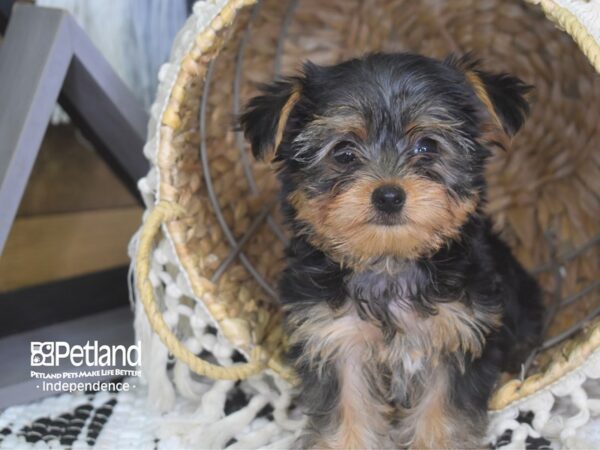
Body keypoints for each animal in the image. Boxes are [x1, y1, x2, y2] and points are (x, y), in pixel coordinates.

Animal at [241, 53, 548, 450]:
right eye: (343, 153)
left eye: (427, 146)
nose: (388, 195)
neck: (389, 265)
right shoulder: (336, 340)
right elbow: (348, 412)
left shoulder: (457, 336)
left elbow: (440, 416)